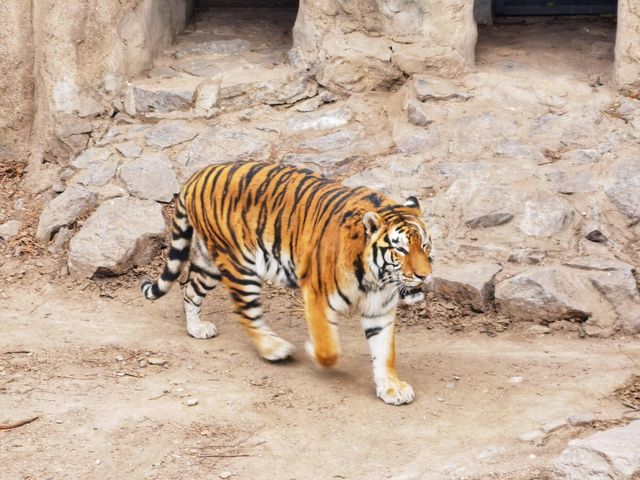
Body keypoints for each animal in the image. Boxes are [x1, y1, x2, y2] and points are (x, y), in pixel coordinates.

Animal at [139, 162, 430, 404]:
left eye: (425, 246)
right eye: (400, 250)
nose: (424, 275)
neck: (375, 279)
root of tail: (197, 175)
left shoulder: (380, 308)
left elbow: (384, 352)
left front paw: (391, 388)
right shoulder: (317, 295)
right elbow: (328, 348)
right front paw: (313, 350)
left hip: (209, 263)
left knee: (189, 289)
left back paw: (196, 328)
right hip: (239, 263)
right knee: (246, 312)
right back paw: (274, 349)